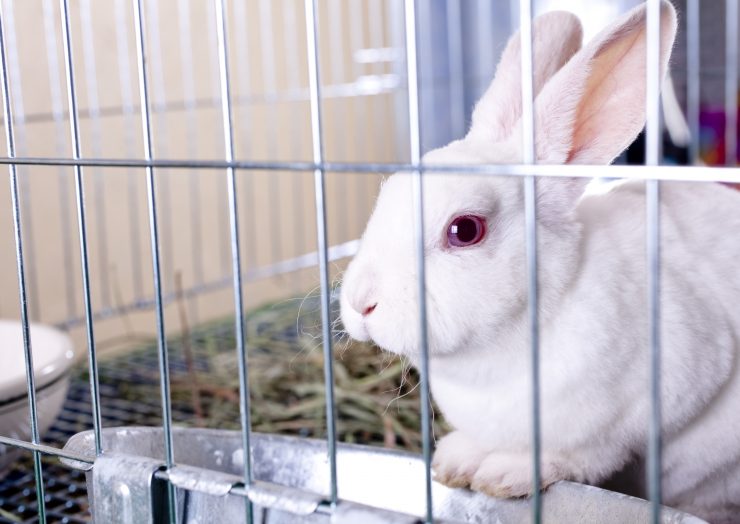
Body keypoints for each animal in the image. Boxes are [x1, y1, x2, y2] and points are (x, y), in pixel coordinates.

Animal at [344, 2, 740, 520]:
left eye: (465, 230)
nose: (359, 303)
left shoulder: (662, 394)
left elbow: (586, 454)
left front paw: (504, 474)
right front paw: (455, 462)